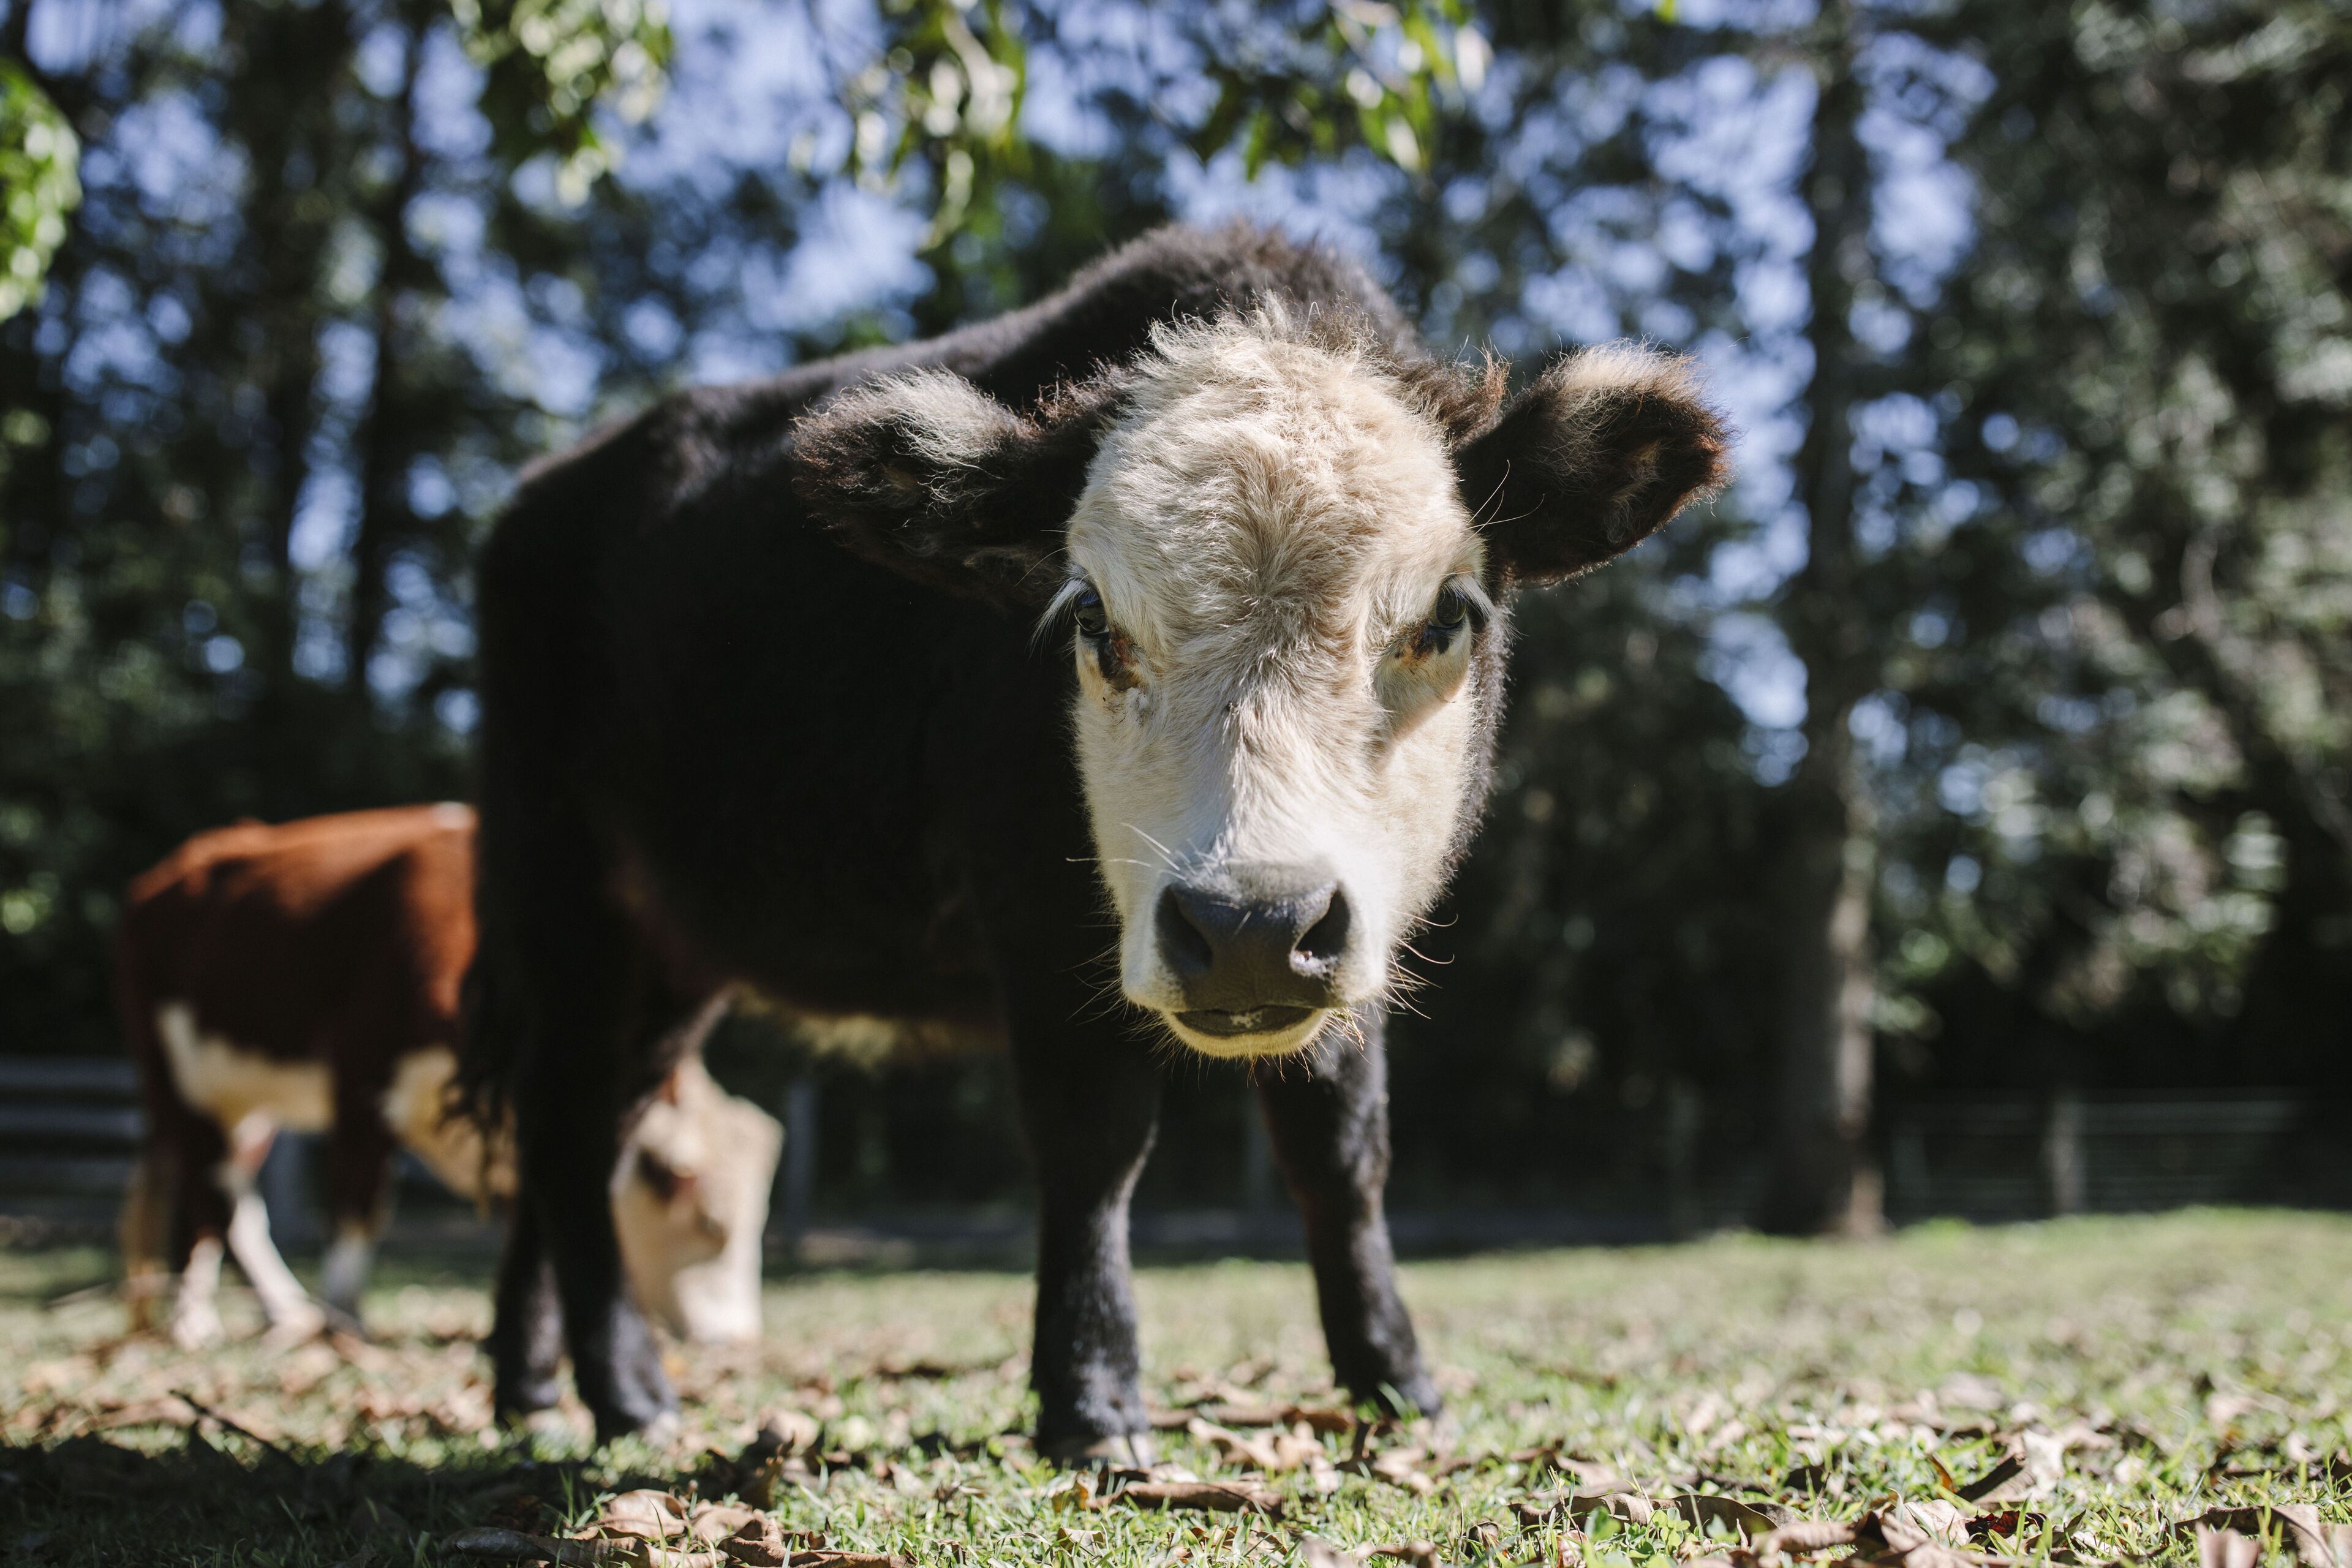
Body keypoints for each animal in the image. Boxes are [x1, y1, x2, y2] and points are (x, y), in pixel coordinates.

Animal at [115, 805, 781, 1348]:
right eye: (707, 1220)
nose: (737, 1337)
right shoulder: (362, 1077)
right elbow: (358, 1206)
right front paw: (347, 1320)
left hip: (248, 1100)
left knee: (234, 1201)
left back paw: (277, 1312)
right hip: (173, 1075)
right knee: (209, 1201)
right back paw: (197, 1320)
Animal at [463, 222, 1728, 1454]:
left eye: (1447, 615)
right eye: (1090, 621)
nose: (1250, 927)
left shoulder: (1356, 934)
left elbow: (1342, 1150)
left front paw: (1394, 1380)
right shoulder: (1035, 917)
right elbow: (1094, 1146)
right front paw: (1092, 1400)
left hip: (669, 949)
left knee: (584, 1124)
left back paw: (534, 1383)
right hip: (564, 894)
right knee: (566, 1122)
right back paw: (626, 1391)